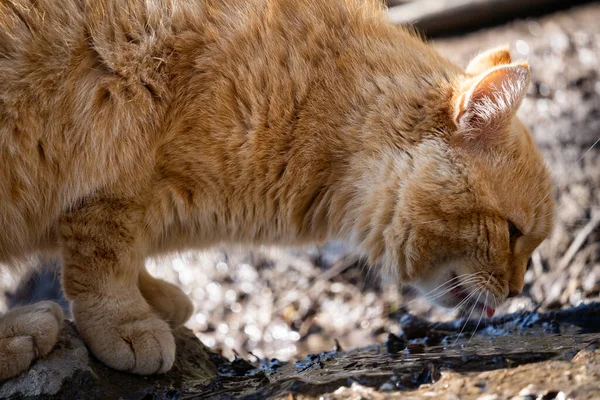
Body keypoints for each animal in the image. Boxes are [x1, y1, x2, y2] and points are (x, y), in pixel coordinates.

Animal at [0, 0, 552, 382]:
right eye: (512, 231)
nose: (516, 290)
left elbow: (121, 257)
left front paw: (152, 294)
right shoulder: (115, 173)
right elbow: (104, 259)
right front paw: (126, 320)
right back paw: (21, 331)